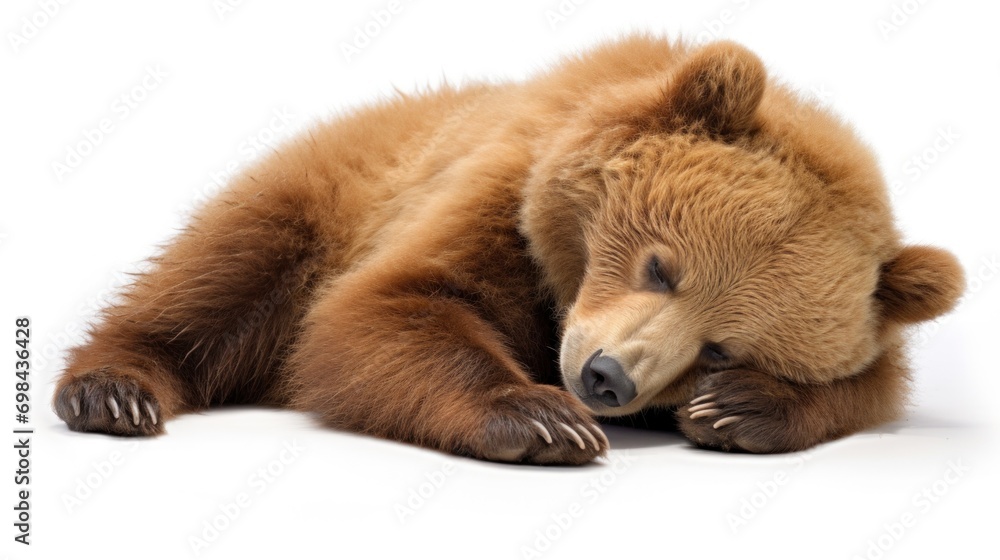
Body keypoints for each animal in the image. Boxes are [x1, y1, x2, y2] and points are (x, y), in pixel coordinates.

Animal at [53, 35, 964, 465]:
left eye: (720, 347)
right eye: (660, 265)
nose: (605, 378)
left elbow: (872, 384)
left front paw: (738, 406)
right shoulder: (500, 190)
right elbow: (389, 306)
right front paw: (540, 417)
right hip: (323, 189)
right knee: (218, 275)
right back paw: (114, 390)